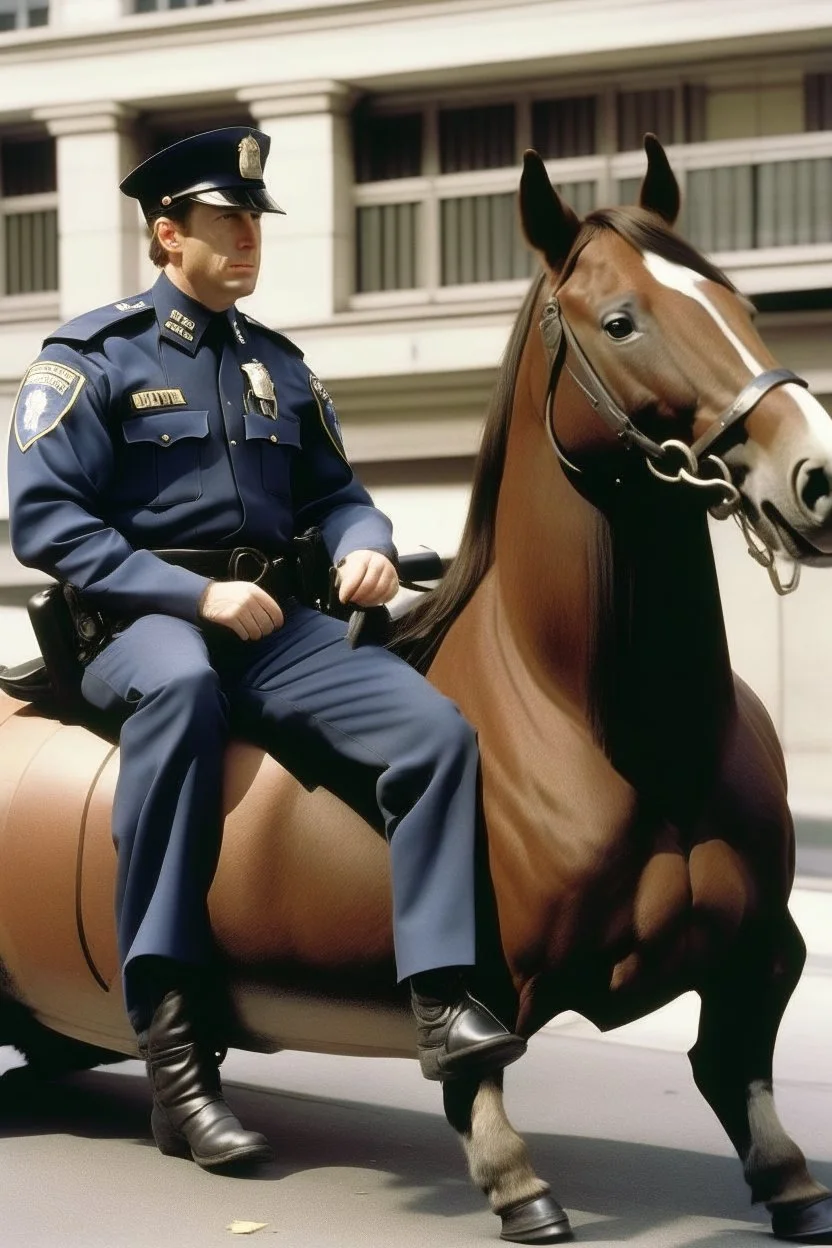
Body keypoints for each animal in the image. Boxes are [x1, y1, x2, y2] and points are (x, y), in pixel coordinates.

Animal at [1, 136, 832, 1238]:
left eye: (740, 303)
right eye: (622, 321)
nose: (816, 474)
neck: (606, 725)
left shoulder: (768, 951)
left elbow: (739, 1065)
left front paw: (790, 1179)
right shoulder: (490, 974)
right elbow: (475, 1065)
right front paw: (514, 1180)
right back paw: (200, 1114)